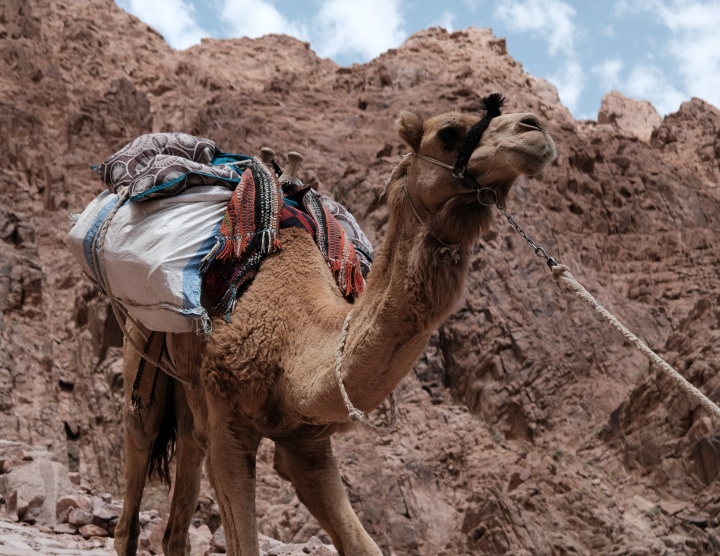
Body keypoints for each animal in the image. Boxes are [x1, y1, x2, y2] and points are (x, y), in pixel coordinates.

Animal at [115, 101, 560, 556]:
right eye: (449, 133)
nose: (534, 129)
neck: (294, 340)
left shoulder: (306, 442)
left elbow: (364, 546)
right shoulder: (230, 424)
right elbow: (245, 544)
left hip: (191, 392)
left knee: (185, 468)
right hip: (142, 348)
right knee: (138, 448)